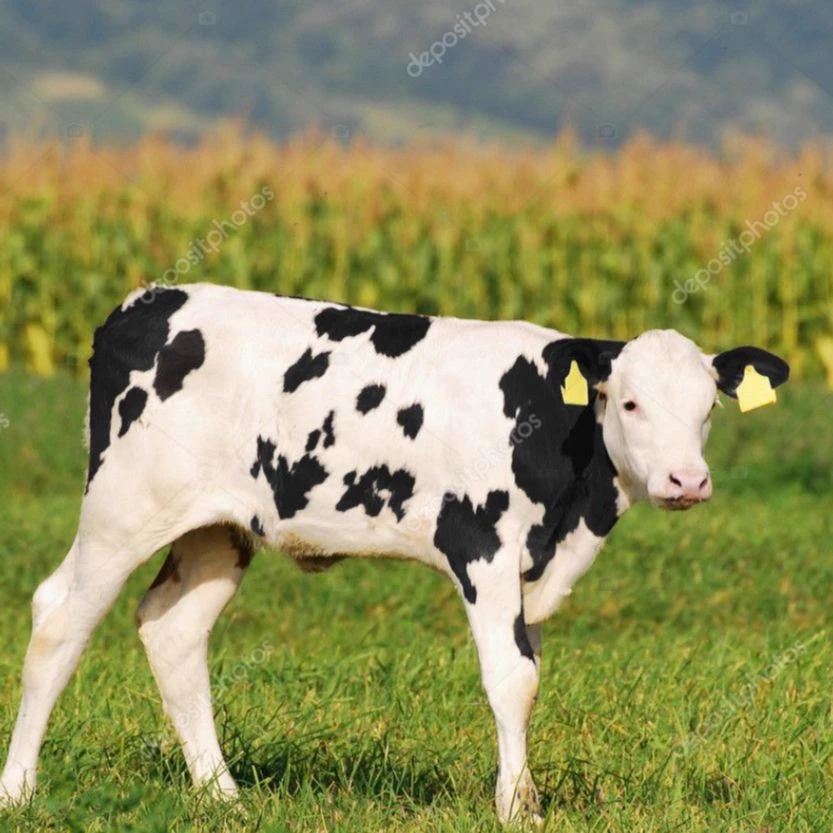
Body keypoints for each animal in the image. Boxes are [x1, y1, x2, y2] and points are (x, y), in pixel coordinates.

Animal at [0, 283, 789, 824]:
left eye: (708, 409)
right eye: (627, 402)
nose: (686, 481)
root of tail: (151, 298)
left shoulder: (533, 570)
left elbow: (531, 674)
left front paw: (528, 798)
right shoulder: (481, 545)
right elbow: (511, 680)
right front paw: (513, 808)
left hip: (214, 529)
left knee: (172, 629)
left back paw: (222, 795)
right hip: (121, 508)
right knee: (59, 618)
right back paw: (20, 789)